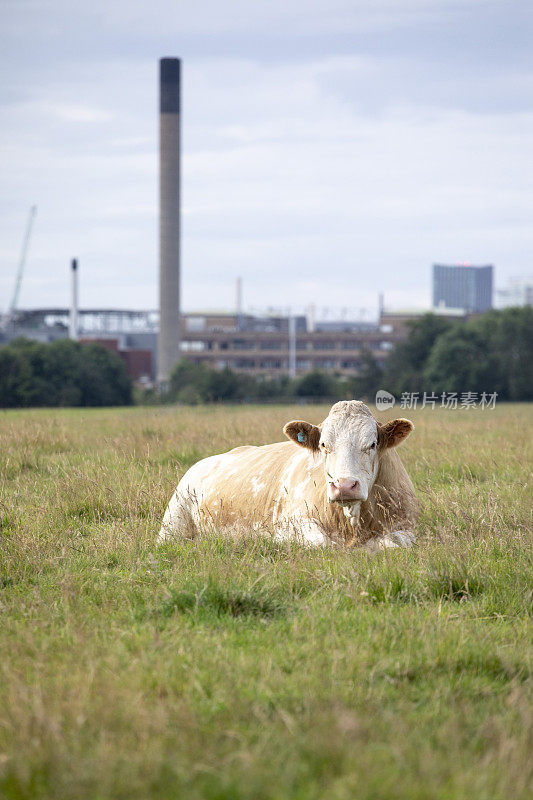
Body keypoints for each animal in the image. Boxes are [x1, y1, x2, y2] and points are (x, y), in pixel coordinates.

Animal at [158, 400, 416, 552]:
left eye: (372, 444)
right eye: (324, 445)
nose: (344, 485)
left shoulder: (407, 527)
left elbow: (391, 544)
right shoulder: (291, 523)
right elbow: (321, 542)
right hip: (172, 527)